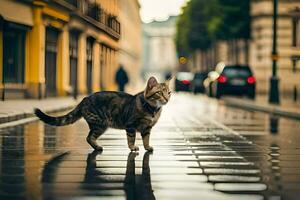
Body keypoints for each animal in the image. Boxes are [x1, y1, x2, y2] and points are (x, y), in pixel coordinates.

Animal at [34, 76, 171, 152]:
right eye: (159, 93)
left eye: (169, 92)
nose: (167, 99)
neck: (152, 110)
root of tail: (84, 99)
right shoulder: (131, 125)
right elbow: (131, 139)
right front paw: (133, 148)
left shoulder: (147, 128)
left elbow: (146, 139)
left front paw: (147, 147)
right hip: (100, 124)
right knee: (89, 137)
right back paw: (98, 147)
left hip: (100, 125)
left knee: (90, 137)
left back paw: (97, 147)